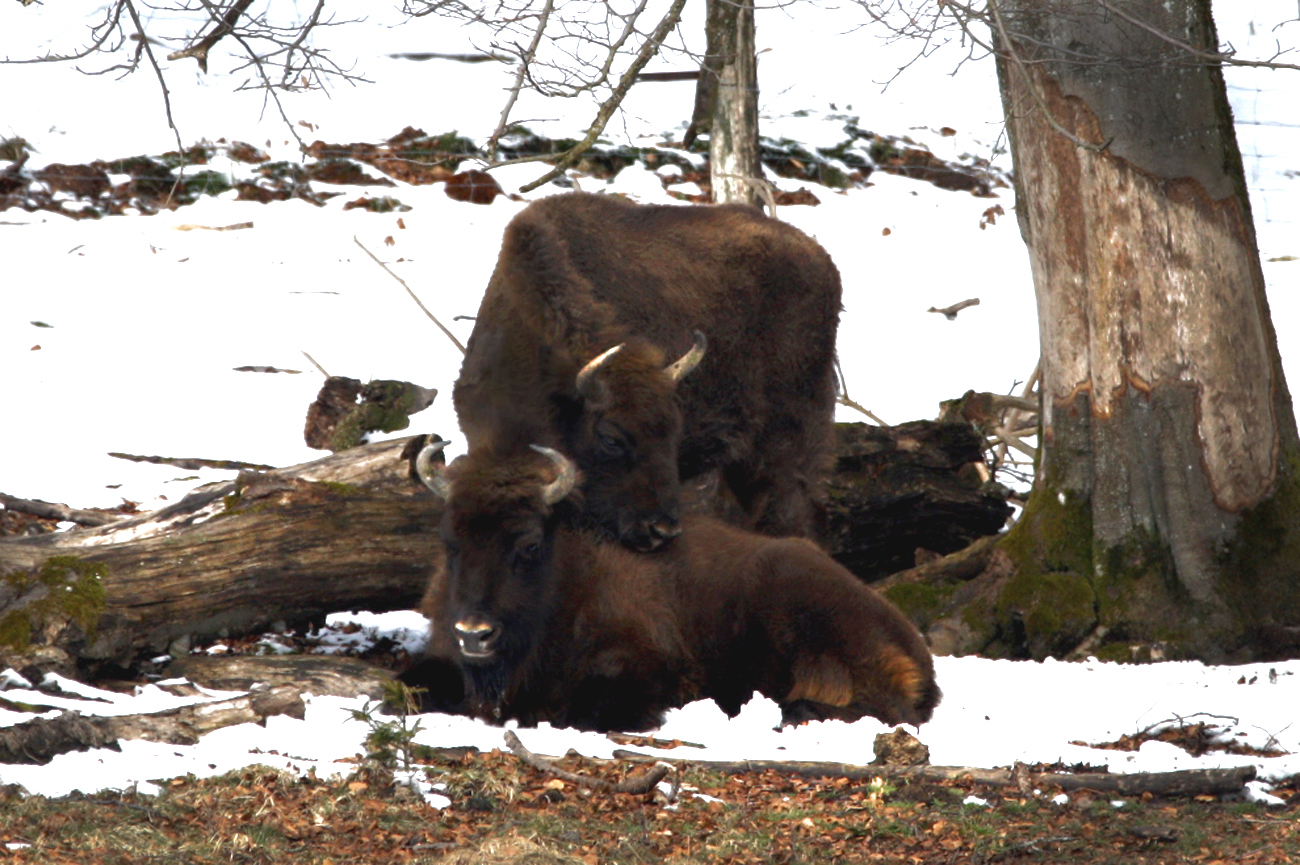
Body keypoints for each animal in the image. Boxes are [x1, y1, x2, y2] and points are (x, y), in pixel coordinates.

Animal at [400, 442, 941, 733]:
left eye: (529, 544)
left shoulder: (644, 669)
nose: (474, 633)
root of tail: (916, 647)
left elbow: (584, 710)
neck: (570, 572)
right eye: (449, 540)